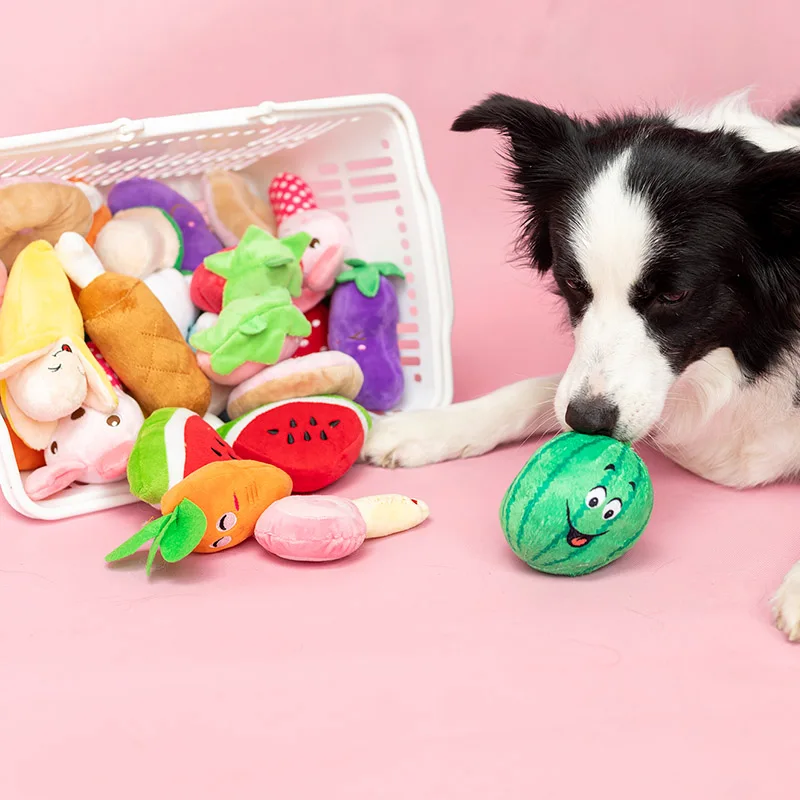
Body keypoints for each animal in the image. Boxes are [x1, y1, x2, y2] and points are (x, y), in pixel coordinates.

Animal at [360, 89, 800, 641]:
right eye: (572, 281)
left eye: (674, 294)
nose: (588, 422)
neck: (743, 358)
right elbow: (534, 390)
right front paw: (427, 427)